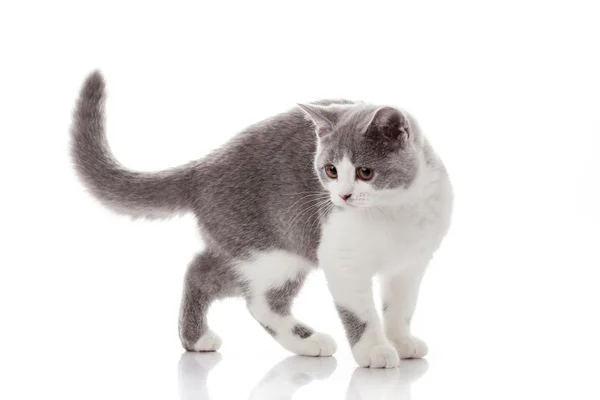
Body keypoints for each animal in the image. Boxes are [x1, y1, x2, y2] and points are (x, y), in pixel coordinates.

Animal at [70, 70, 452, 368]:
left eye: (365, 172)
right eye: (330, 170)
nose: (342, 196)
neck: (393, 212)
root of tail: (204, 167)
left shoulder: (412, 263)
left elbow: (400, 306)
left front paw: (401, 342)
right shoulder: (341, 259)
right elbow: (361, 313)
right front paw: (374, 350)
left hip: (248, 246)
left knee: (202, 271)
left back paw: (197, 338)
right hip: (275, 249)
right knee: (257, 300)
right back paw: (305, 340)